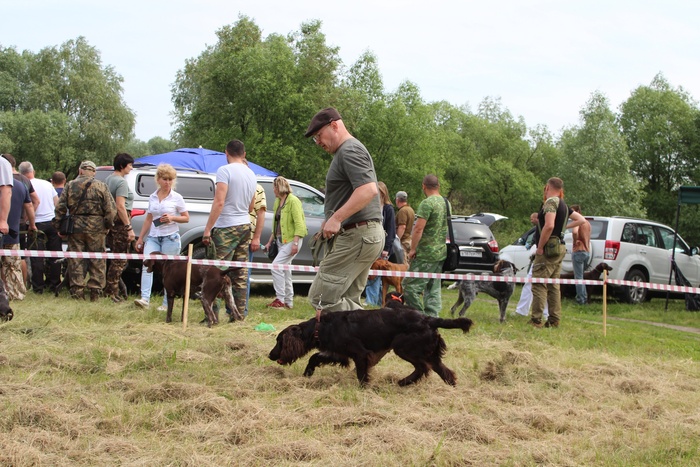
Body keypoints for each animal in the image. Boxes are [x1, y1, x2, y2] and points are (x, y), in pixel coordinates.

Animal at [269, 304, 473, 387]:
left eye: (279, 341)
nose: (270, 355)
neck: (321, 326)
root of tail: (429, 319)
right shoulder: (340, 353)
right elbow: (314, 357)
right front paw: (307, 374)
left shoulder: (359, 353)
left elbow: (361, 374)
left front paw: (363, 388)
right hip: (427, 351)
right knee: (443, 371)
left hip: (403, 347)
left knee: (423, 367)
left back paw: (404, 382)